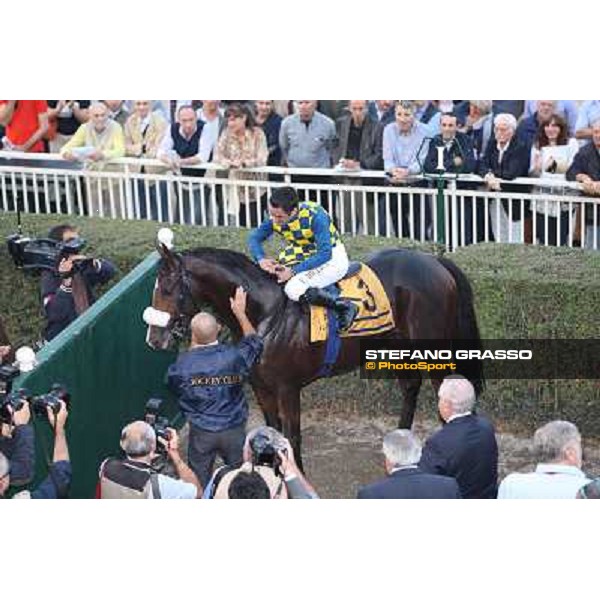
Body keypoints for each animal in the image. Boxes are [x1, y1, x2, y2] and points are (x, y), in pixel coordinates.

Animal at [145, 244, 482, 464]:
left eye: (167, 288)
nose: (154, 339)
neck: (265, 312)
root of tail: (436, 260)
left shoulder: (288, 388)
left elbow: (291, 436)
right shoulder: (261, 387)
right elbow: (271, 430)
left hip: (432, 348)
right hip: (398, 346)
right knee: (411, 387)